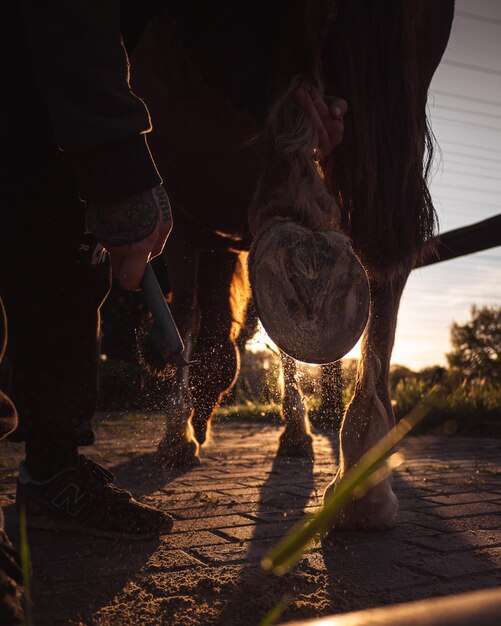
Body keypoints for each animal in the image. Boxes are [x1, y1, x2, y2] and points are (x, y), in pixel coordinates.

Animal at [128, 0, 454, 528]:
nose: (205, 423)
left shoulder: (183, 221)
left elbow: (189, 321)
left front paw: (178, 434)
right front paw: (296, 431)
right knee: (384, 263)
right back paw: (363, 476)